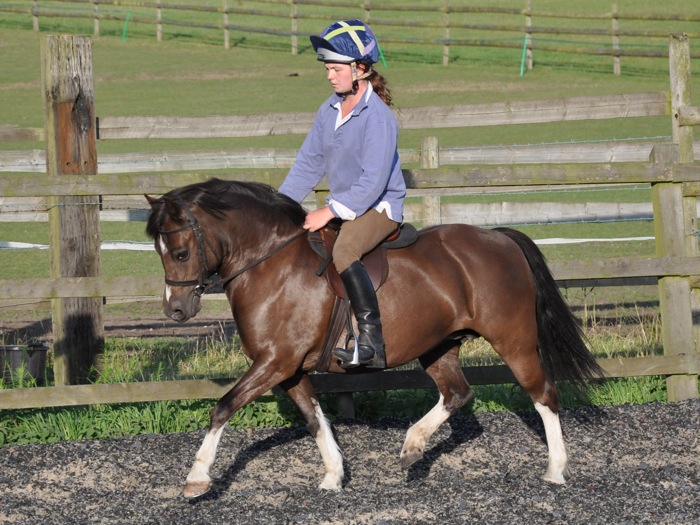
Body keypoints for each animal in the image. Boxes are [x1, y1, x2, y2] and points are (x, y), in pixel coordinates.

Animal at [145, 177, 603, 498]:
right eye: (158, 252)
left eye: (180, 252)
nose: (175, 311)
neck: (270, 264)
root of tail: (500, 237)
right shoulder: (288, 368)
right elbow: (314, 418)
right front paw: (333, 475)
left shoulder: (275, 362)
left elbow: (222, 407)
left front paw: (197, 477)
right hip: (438, 346)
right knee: (457, 393)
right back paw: (412, 446)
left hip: (514, 341)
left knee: (543, 394)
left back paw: (555, 470)